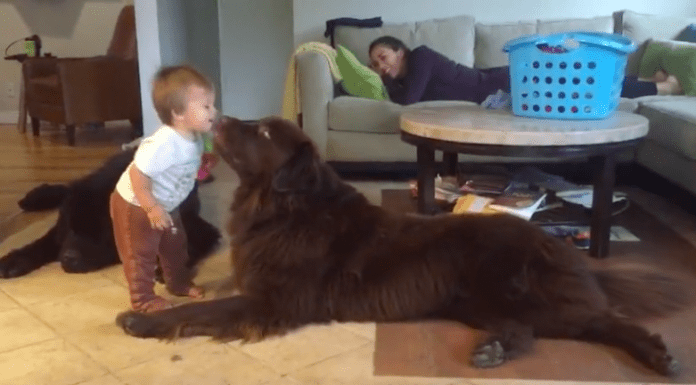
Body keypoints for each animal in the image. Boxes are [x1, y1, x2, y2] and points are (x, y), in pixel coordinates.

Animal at [117, 115, 692, 376]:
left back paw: (657, 353)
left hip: (522, 294)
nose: (216, 117)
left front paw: (142, 320)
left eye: (259, 133)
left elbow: (203, 312)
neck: (285, 208)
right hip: (481, 302)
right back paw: (494, 349)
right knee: (528, 330)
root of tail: (564, 248)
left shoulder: (270, 300)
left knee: (604, 320)